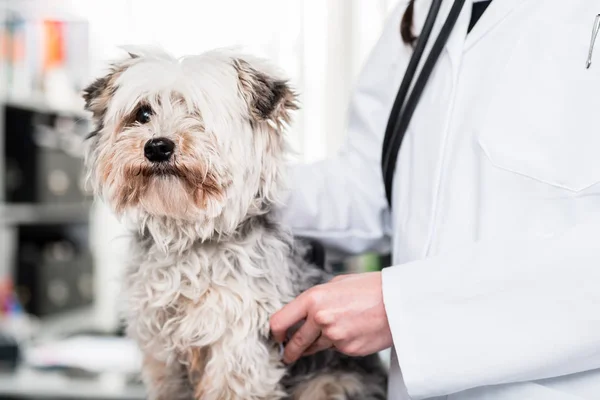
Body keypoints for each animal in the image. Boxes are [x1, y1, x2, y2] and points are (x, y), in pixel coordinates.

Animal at [81, 47, 390, 400]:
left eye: (198, 113)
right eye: (143, 113)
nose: (157, 146)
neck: (188, 238)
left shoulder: (239, 348)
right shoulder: (162, 357)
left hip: (330, 385)